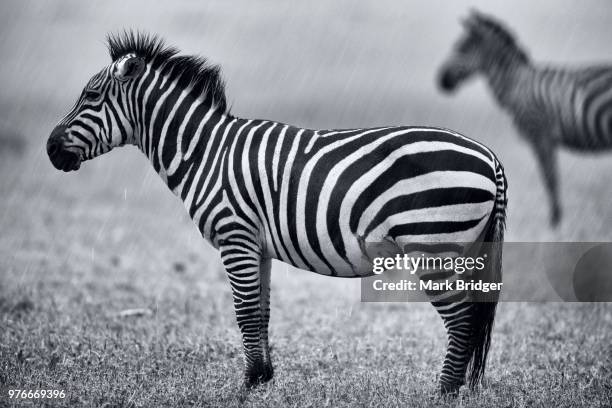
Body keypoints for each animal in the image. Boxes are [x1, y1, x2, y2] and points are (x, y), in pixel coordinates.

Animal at [47, 31, 506, 396]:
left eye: (91, 97)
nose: (50, 151)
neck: (204, 153)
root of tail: (489, 156)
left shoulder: (234, 237)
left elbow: (245, 312)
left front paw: (247, 384)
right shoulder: (256, 246)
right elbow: (261, 311)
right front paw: (263, 377)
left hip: (433, 244)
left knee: (461, 319)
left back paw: (444, 391)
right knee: (472, 317)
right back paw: (459, 386)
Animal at [438, 10, 612, 226]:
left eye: (461, 48)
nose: (440, 81)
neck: (516, 85)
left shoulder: (540, 135)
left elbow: (550, 180)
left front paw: (555, 223)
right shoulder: (543, 139)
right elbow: (550, 179)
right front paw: (556, 221)